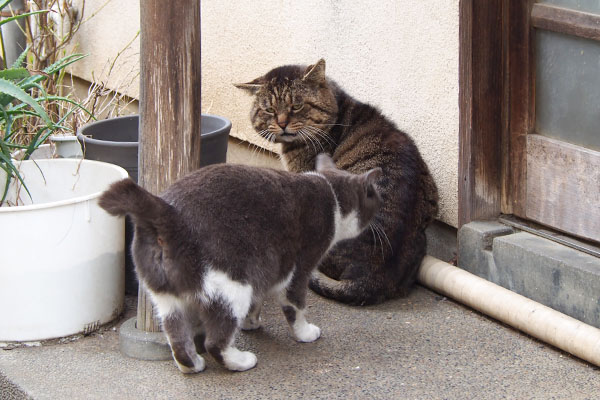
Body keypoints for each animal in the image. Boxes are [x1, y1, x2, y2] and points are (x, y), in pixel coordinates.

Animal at [98, 153, 380, 372]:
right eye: (374, 196)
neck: (332, 197)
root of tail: (169, 214)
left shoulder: (265, 271)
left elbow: (258, 301)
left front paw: (251, 324)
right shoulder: (299, 268)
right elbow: (296, 306)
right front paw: (305, 333)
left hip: (165, 299)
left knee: (177, 339)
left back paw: (193, 365)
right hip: (232, 288)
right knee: (215, 341)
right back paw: (241, 361)